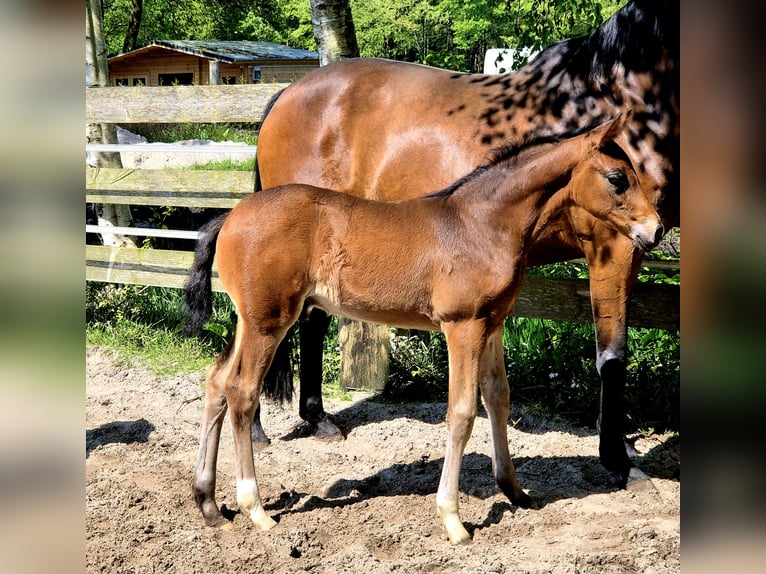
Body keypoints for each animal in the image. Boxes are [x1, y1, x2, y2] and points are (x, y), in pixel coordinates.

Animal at [188, 116, 664, 544]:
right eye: (618, 178)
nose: (656, 230)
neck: (481, 225)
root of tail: (231, 215)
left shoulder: (492, 324)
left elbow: (498, 398)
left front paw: (515, 492)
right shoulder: (462, 326)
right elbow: (462, 413)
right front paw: (453, 520)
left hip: (250, 321)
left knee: (216, 381)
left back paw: (208, 504)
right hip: (269, 322)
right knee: (242, 391)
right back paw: (255, 509)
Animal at [255, 1, 680, 496]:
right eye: (616, 179)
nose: (656, 230)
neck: (619, 89)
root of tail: (287, 94)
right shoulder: (615, 247)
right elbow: (612, 356)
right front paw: (620, 461)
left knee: (311, 320)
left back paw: (317, 418)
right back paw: (260, 427)